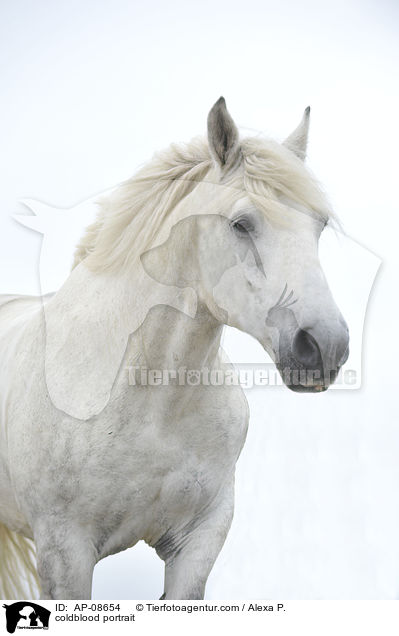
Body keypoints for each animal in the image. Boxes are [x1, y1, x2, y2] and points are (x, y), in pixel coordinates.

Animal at [0, 97, 350, 600]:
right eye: (241, 224)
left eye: (318, 225)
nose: (325, 347)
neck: (149, 401)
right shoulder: (65, 553)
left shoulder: (199, 540)